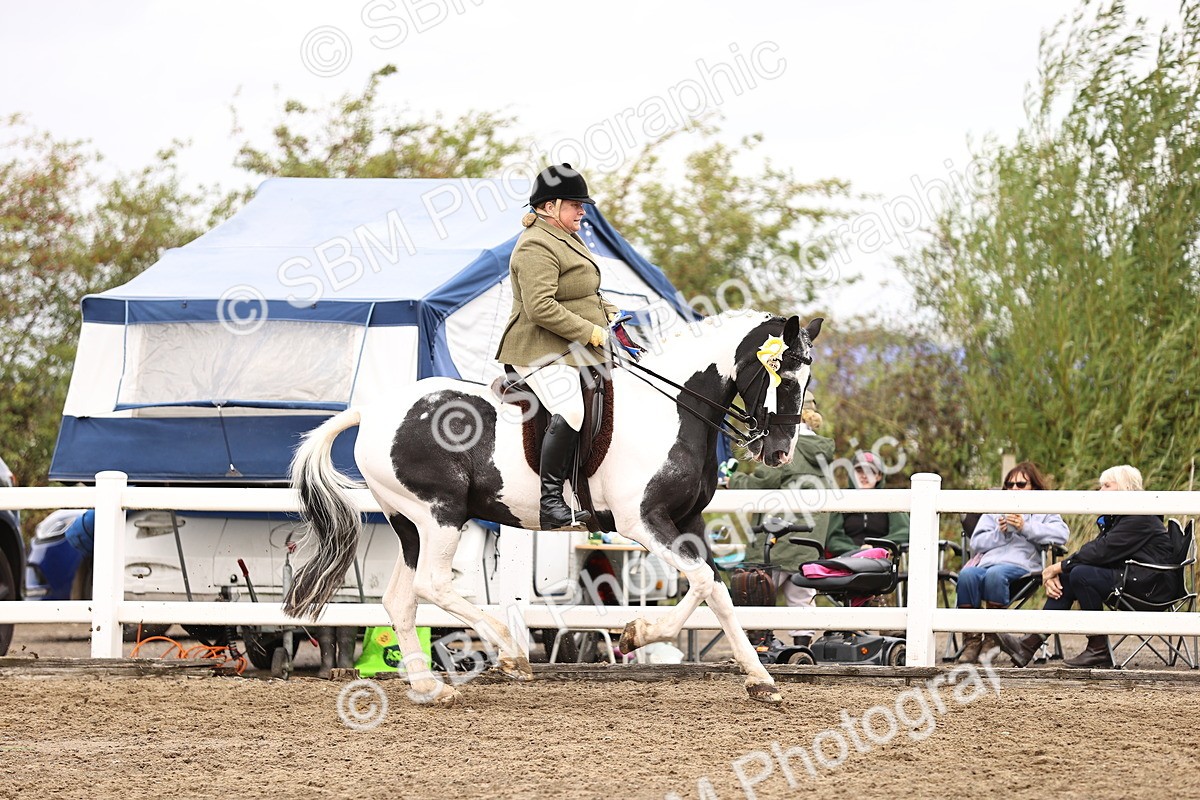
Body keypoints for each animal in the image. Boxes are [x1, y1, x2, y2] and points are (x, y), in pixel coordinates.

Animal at [282, 310, 823, 705]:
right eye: (783, 374)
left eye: (806, 377)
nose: (779, 453)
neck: (671, 409)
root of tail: (371, 411)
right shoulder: (642, 522)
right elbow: (705, 581)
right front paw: (637, 634)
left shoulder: (686, 521)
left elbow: (714, 590)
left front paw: (758, 679)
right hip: (442, 515)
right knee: (433, 585)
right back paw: (509, 652)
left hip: (409, 523)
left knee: (401, 599)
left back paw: (429, 686)